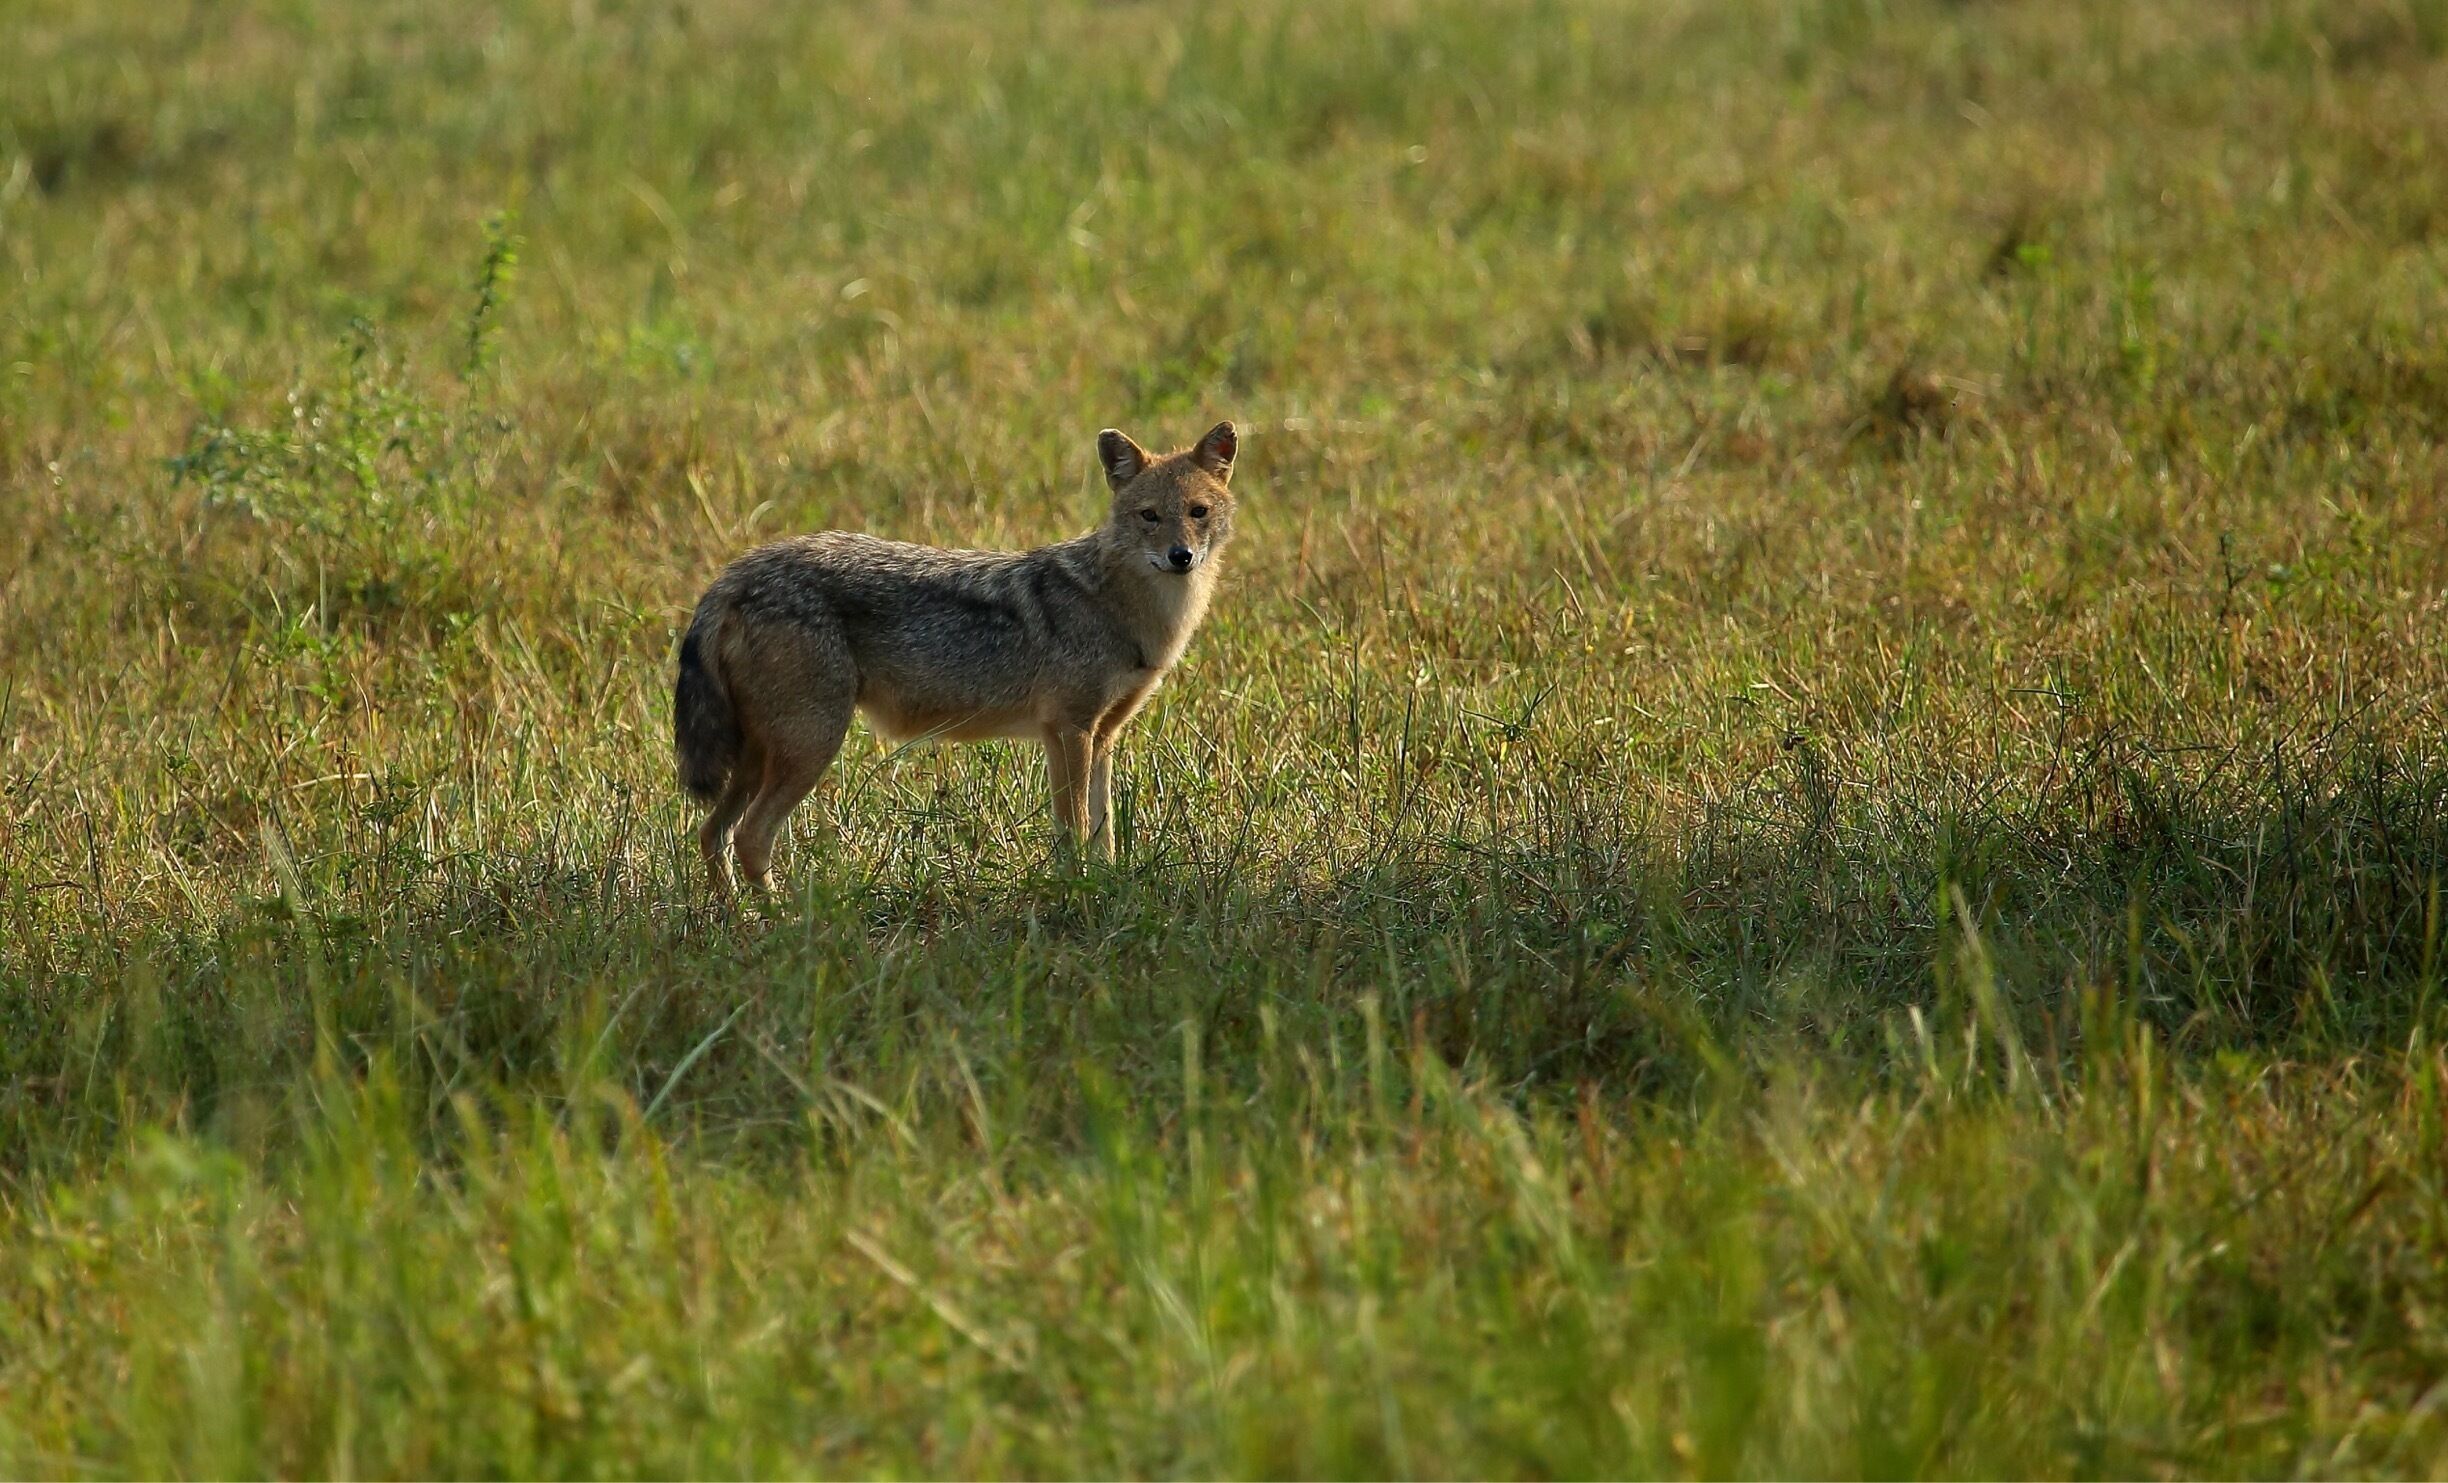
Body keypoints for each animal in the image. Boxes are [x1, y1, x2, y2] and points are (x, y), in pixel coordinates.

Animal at [672, 419, 1240, 895]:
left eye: (1198, 512)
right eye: (1149, 517)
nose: (1181, 557)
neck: (1128, 611)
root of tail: (736, 574)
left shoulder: (1100, 736)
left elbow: (1102, 835)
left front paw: (1100, 887)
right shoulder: (1068, 731)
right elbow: (1074, 829)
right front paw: (1075, 892)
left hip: (763, 756)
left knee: (712, 833)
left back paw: (735, 920)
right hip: (811, 746)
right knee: (749, 838)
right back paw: (780, 920)